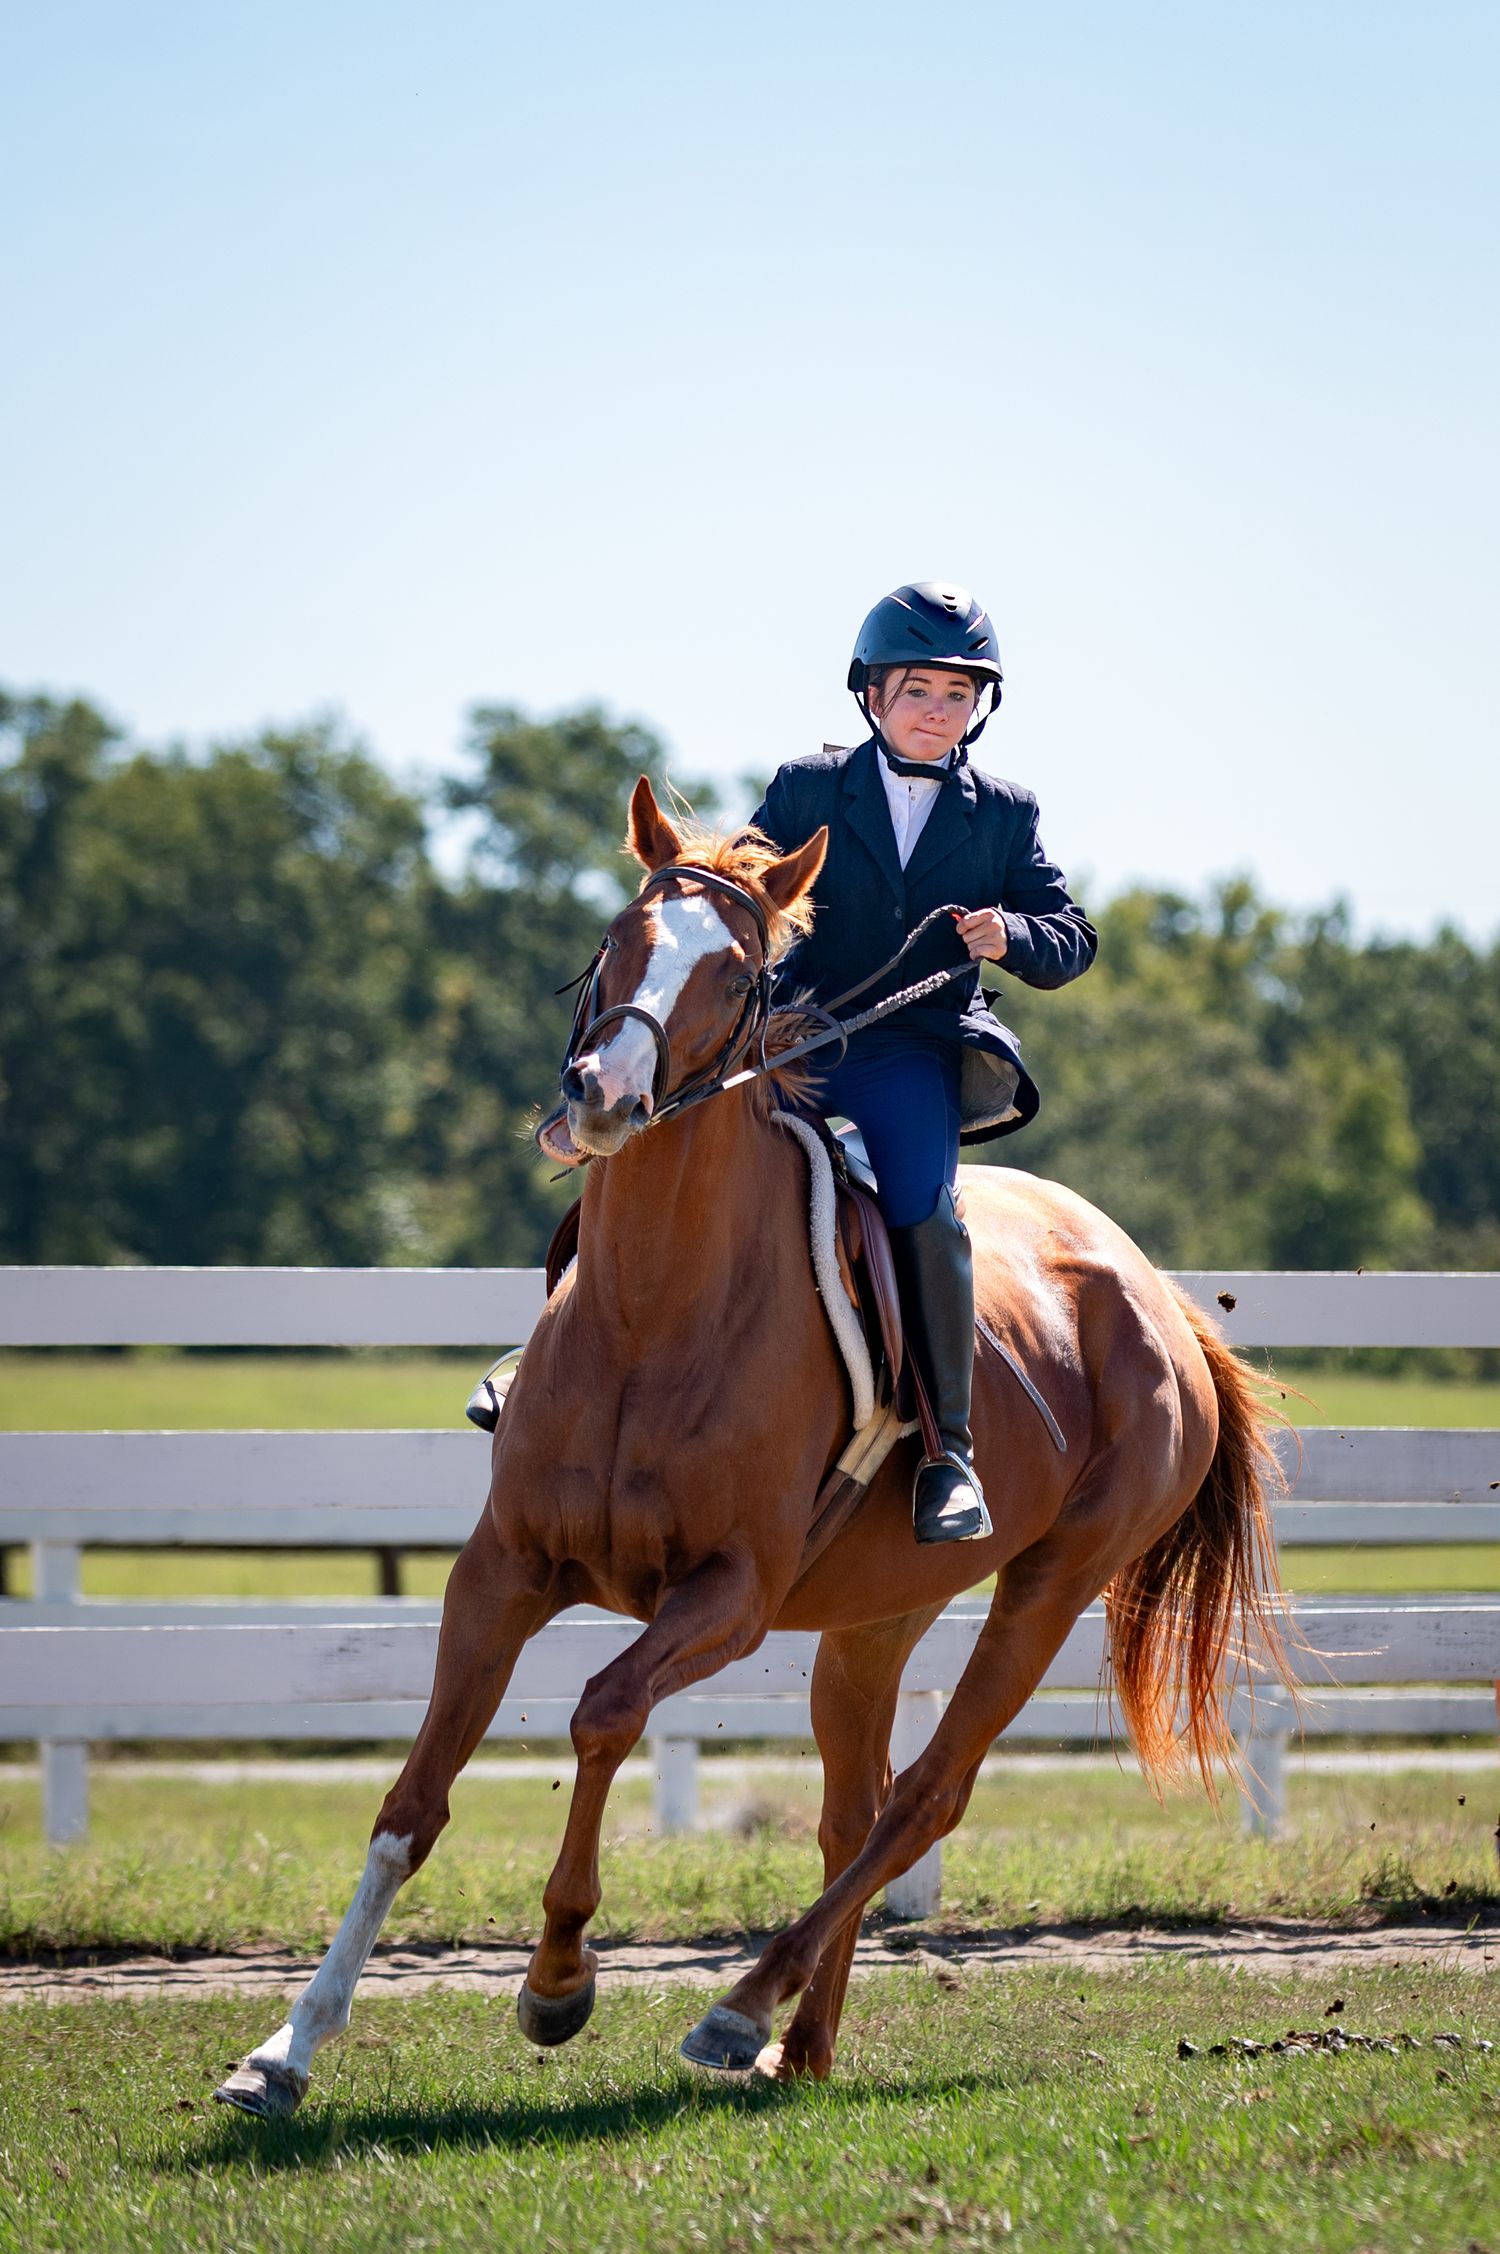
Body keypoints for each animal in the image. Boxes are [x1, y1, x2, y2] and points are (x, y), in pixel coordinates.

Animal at [216, 775, 1293, 2114]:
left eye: (736, 974)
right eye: (614, 941)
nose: (602, 1094)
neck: (653, 1309)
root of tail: (1163, 1303)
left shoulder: (725, 1596)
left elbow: (604, 1712)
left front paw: (558, 1980)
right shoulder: (500, 1572)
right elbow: (414, 1799)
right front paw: (285, 2048)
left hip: (1053, 1583)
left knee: (924, 1797)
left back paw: (740, 2008)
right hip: (879, 1615)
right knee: (854, 1809)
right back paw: (800, 2044)